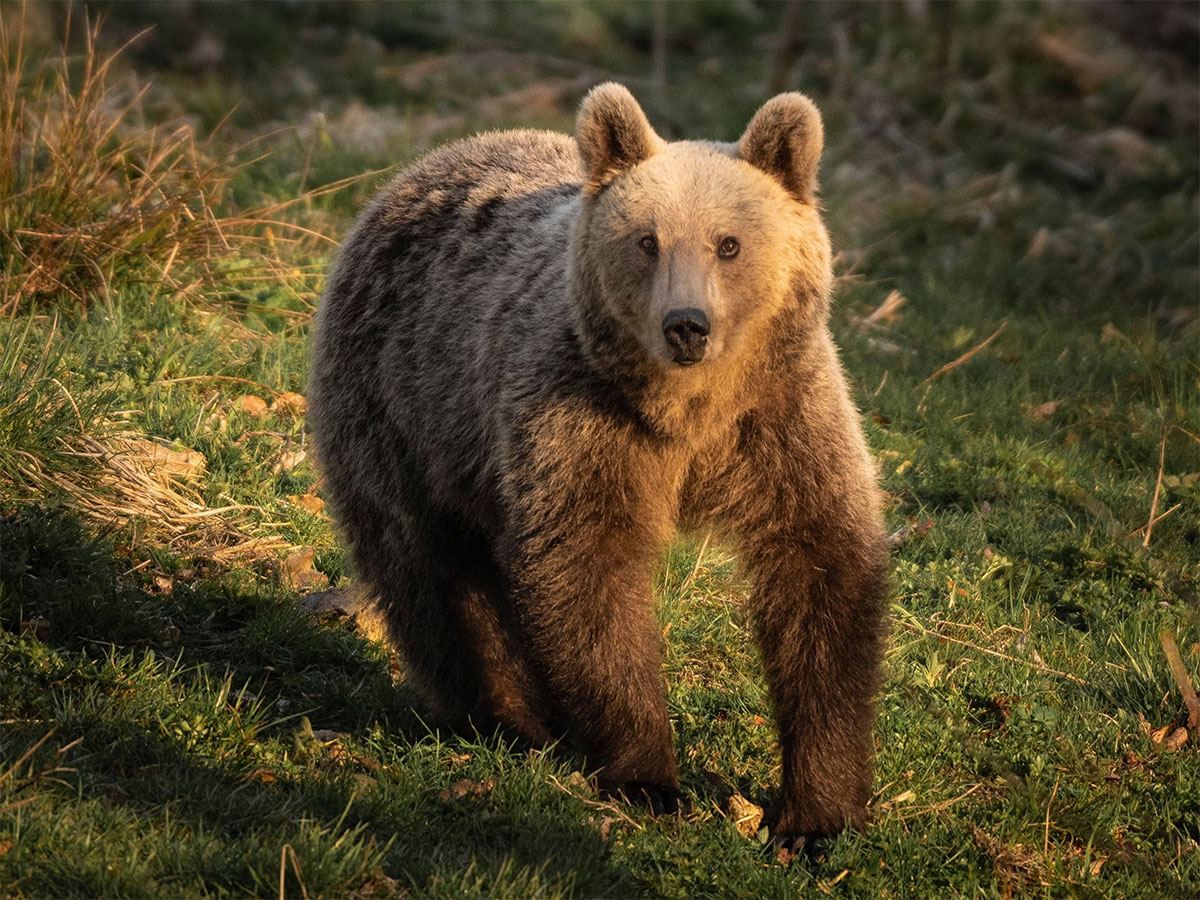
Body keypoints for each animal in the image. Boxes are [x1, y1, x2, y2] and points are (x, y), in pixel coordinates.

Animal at [308, 83, 889, 850]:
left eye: (729, 243)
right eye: (647, 241)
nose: (686, 324)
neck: (685, 411)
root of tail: (418, 168)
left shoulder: (777, 422)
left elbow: (819, 574)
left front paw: (814, 816)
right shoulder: (583, 418)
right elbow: (588, 572)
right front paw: (648, 780)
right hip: (404, 412)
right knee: (429, 572)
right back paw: (511, 719)